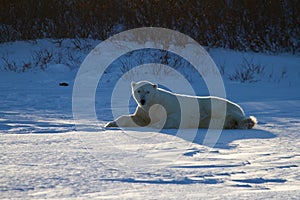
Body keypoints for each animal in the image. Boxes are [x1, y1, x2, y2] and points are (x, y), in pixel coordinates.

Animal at [104, 80, 256, 129]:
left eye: (147, 91)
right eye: (138, 90)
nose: (142, 100)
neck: (153, 103)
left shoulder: (169, 106)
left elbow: (172, 118)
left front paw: (155, 125)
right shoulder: (143, 111)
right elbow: (136, 118)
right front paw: (110, 123)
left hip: (215, 104)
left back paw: (248, 121)